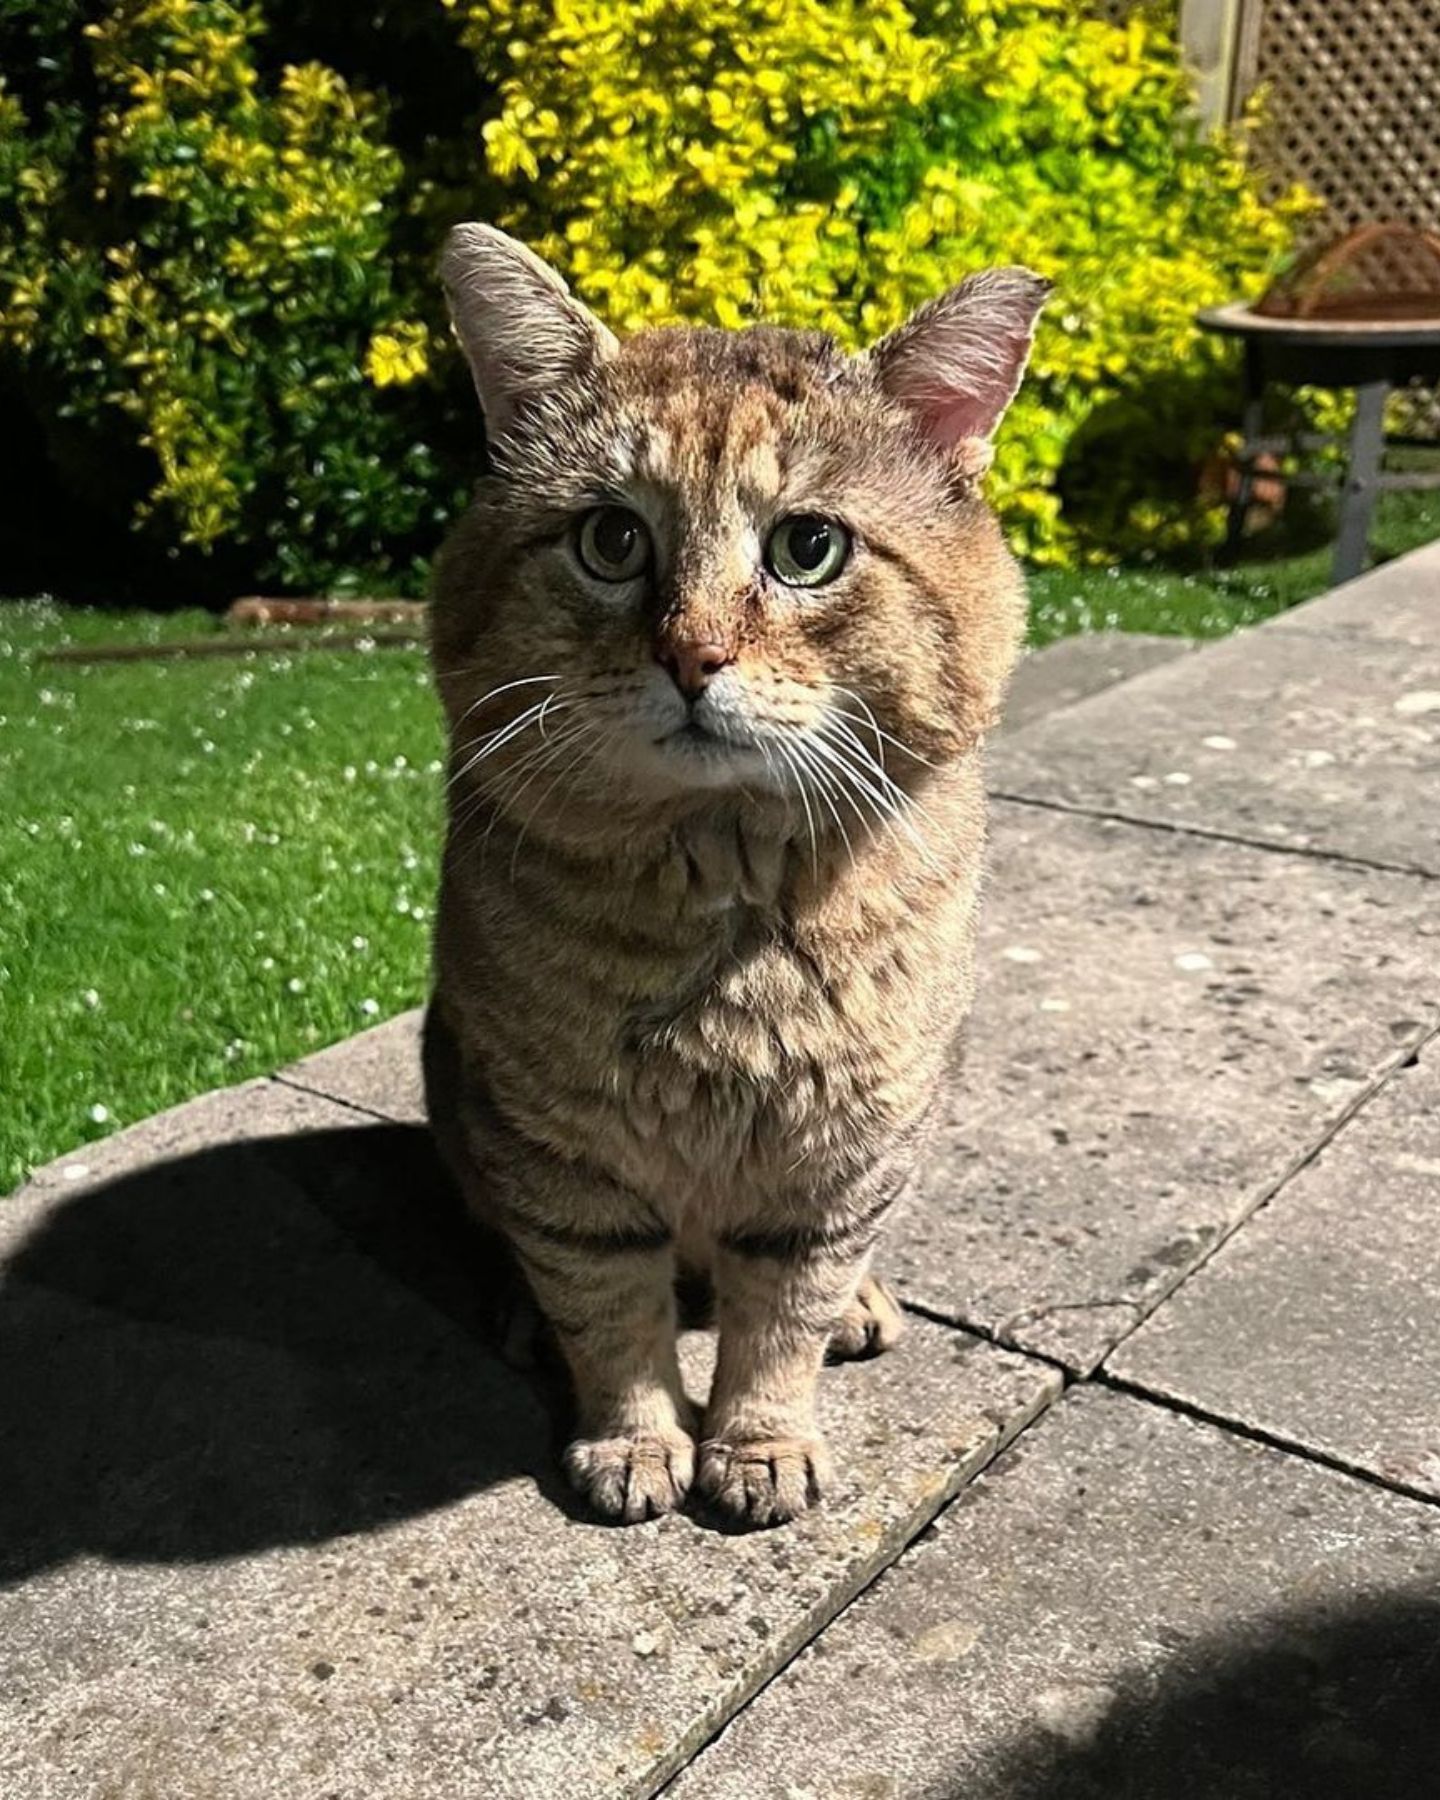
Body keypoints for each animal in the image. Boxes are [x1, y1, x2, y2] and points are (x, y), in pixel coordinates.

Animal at [421, 217, 1044, 1526]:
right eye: (612, 540)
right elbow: (610, 1314)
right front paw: (633, 1443)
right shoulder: (559, 1159)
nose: (694, 656)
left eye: (808, 547)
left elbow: (782, 1320)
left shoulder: (843, 1158)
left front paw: (759, 1448)